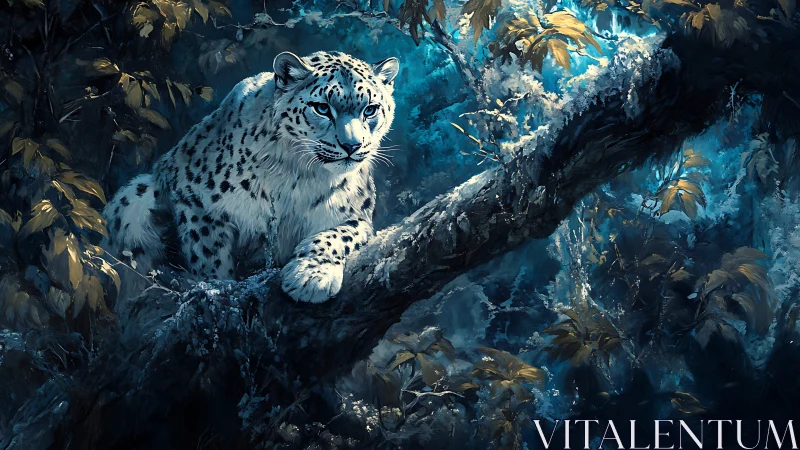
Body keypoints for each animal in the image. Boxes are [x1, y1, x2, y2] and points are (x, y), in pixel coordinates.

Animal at [102, 51, 400, 303]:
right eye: (322, 108)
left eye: (370, 109)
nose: (352, 146)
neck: (301, 175)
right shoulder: (195, 200)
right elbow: (208, 254)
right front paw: (216, 286)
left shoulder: (356, 216)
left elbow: (337, 236)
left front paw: (311, 276)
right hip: (133, 196)